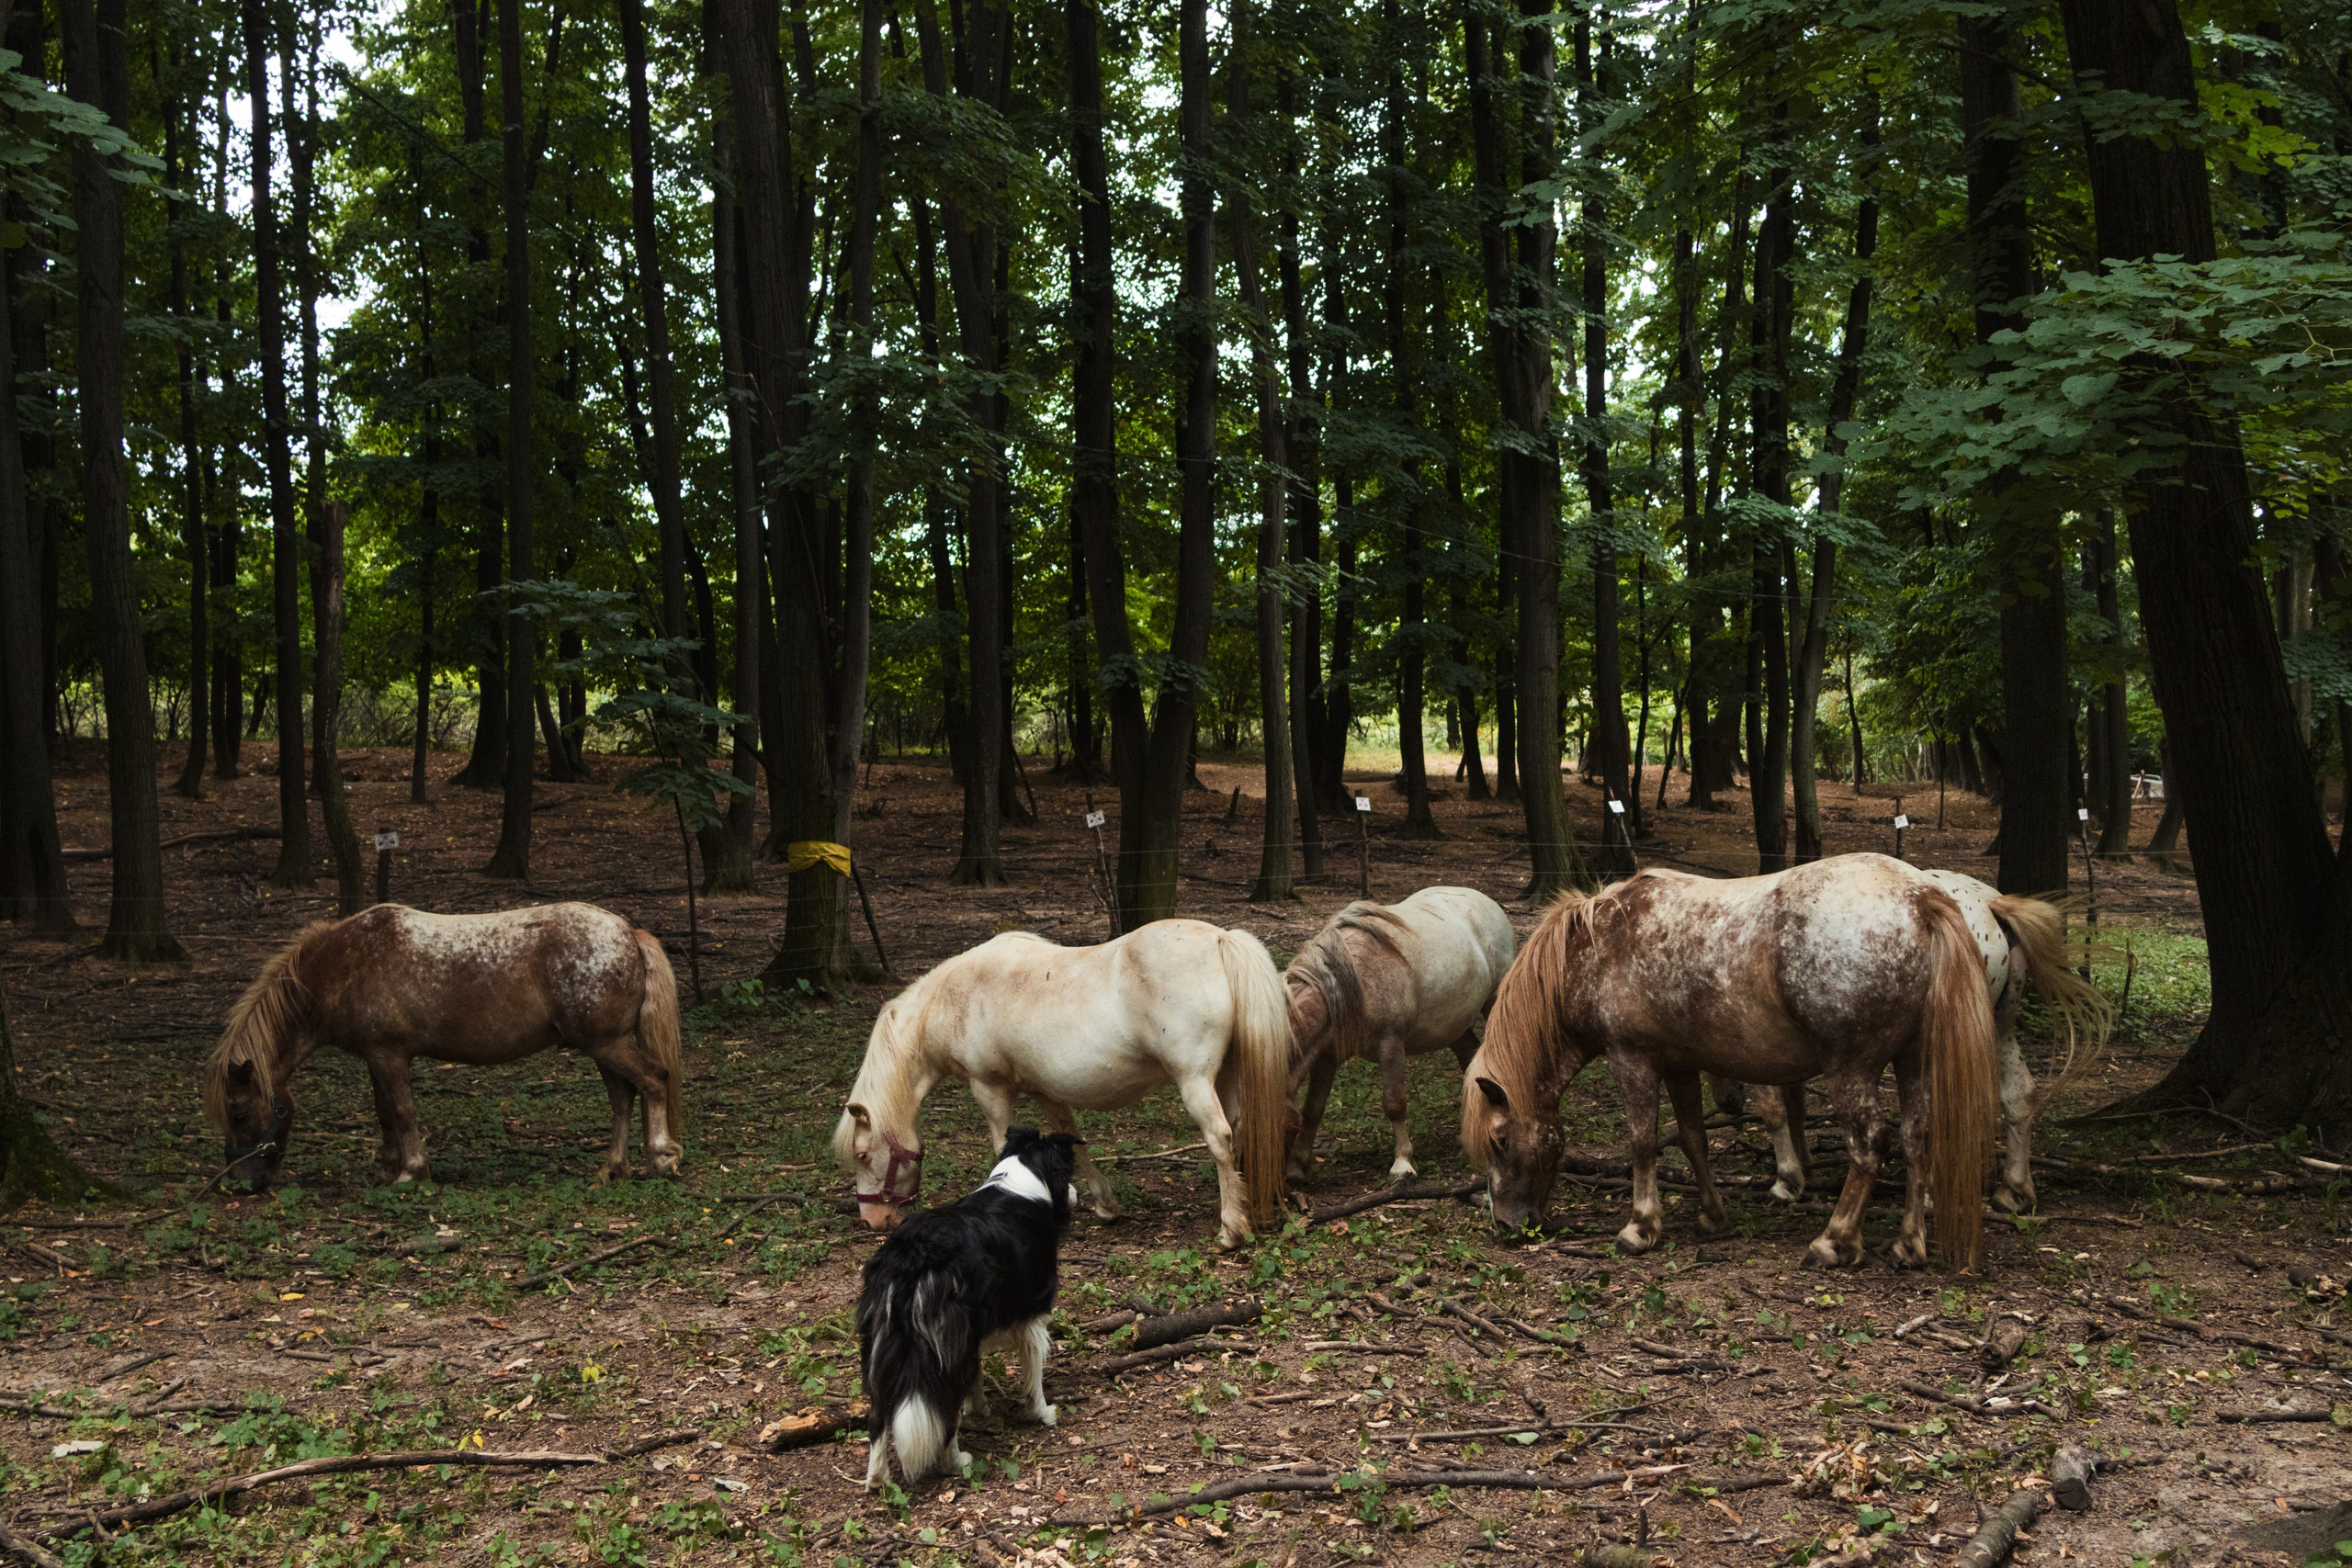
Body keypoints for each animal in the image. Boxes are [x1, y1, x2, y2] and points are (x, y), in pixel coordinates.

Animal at [202, 902, 685, 1190]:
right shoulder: (375, 1057)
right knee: (623, 1097)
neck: (345, 966)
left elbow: (403, 1111)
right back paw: (612, 1167)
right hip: (603, 1046)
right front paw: (388, 1166)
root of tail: (628, 932)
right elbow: (384, 1113)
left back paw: (661, 1157)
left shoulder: (390, 1054)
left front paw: (411, 1172)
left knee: (653, 1081)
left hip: (606, 1044)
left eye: (240, 1114)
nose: (240, 1182)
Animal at [834, 920, 1291, 1251]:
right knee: (1238, 1132)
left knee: (1219, 1137)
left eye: (862, 1155)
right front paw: (1102, 1204)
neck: (954, 999)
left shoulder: (989, 1089)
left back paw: (1230, 1230)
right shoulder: (1045, 1092)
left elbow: (1002, 1146)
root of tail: (1220, 939)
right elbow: (1072, 1142)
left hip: (1194, 1082)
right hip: (1226, 1076)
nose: (873, 1221)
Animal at [1281, 887, 1517, 1182]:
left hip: (1495, 1002)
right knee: (1470, 1061)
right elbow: (1313, 1109)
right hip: (1454, 1027)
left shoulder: (1391, 1045)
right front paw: (1297, 1167)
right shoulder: (1326, 1055)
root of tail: (1488, 902)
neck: (1349, 985)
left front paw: (1403, 1163)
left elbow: (1394, 1103)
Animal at [1464, 854, 2035, 1272]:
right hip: (1912, 1060)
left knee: (1870, 1144)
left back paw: (1834, 1240)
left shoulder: (1633, 1060)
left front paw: (1640, 1228)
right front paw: (1712, 1216)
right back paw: (1908, 1245)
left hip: (1851, 1069)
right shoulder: (1679, 1065)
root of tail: (1922, 899)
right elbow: (1692, 1137)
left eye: (1499, 1140)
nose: (1507, 1224)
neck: (1598, 949)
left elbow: (1643, 1142)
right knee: (1918, 1138)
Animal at [1720, 868, 2110, 1218]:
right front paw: (1805, 1164)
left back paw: (1928, 1198)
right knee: (2019, 1095)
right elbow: (1796, 1104)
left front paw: (1787, 1180)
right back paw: (2013, 1192)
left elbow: (1774, 1110)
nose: (1728, 1103)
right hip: (1999, 1028)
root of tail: (1991, 904)